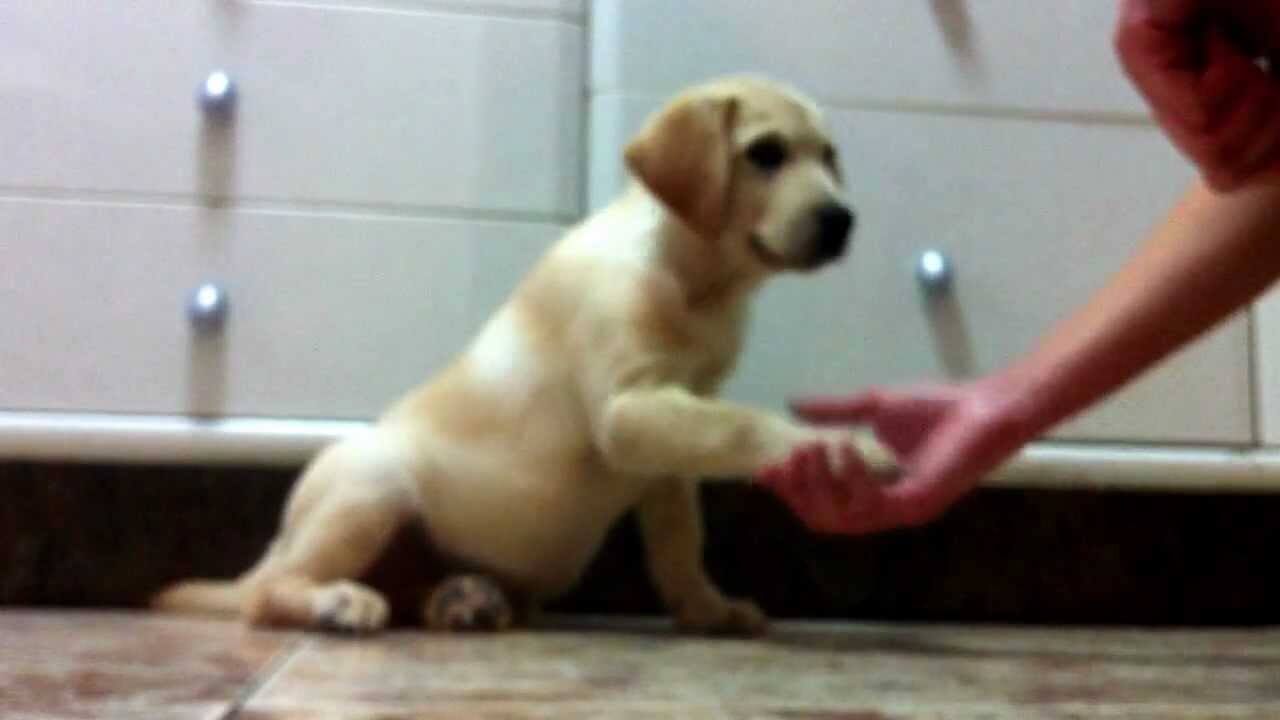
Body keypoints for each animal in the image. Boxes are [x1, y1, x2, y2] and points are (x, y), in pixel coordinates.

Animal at [152, 74, 890, 632]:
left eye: (829, 156)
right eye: (765, 154)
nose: (842, 221)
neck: (695, 278)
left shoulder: (668, 447)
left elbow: (682, 543)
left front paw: (707, 609)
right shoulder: (630, 411)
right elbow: (746, 424)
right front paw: (848, 446)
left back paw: (462, 600)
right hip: (372, 486)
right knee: (267, 593)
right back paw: (339, 601)